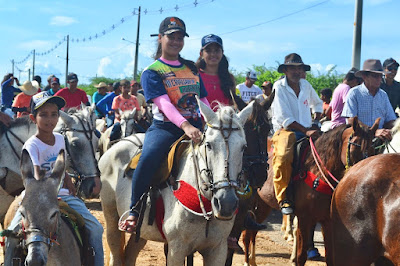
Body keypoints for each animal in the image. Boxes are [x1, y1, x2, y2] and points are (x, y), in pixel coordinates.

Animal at [101, 100, 253, 266]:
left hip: (141, 232)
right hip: (111, 219)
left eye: (244, 147)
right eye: (209, 145)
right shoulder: (176, 249)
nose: (226, 203)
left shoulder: (217, 249)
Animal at [242, 118, 380, 266]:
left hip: (264, 204)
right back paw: (247, 261)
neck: (317, 173)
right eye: (354, 149)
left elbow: (331, 258)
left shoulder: (328, 220)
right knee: (246, 233)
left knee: (253, 231)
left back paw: (252, 261)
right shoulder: (304, 218)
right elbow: (301, 256)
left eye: (372, 150)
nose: (362, 175)